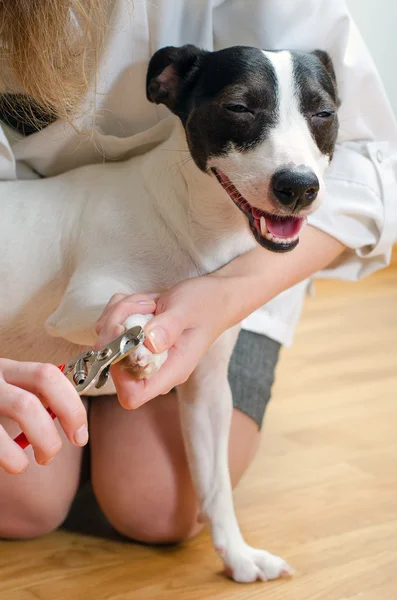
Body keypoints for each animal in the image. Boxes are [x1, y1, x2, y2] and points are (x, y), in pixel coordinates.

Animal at [1, 45, 338, 580]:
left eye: (324, 113)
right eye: (238, 107)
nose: (299, 186)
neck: (188, 224)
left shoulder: (208, 388)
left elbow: (214, 483)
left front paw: (237, 555)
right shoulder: (80, 302)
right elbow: (128, 315)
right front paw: (144, 350)